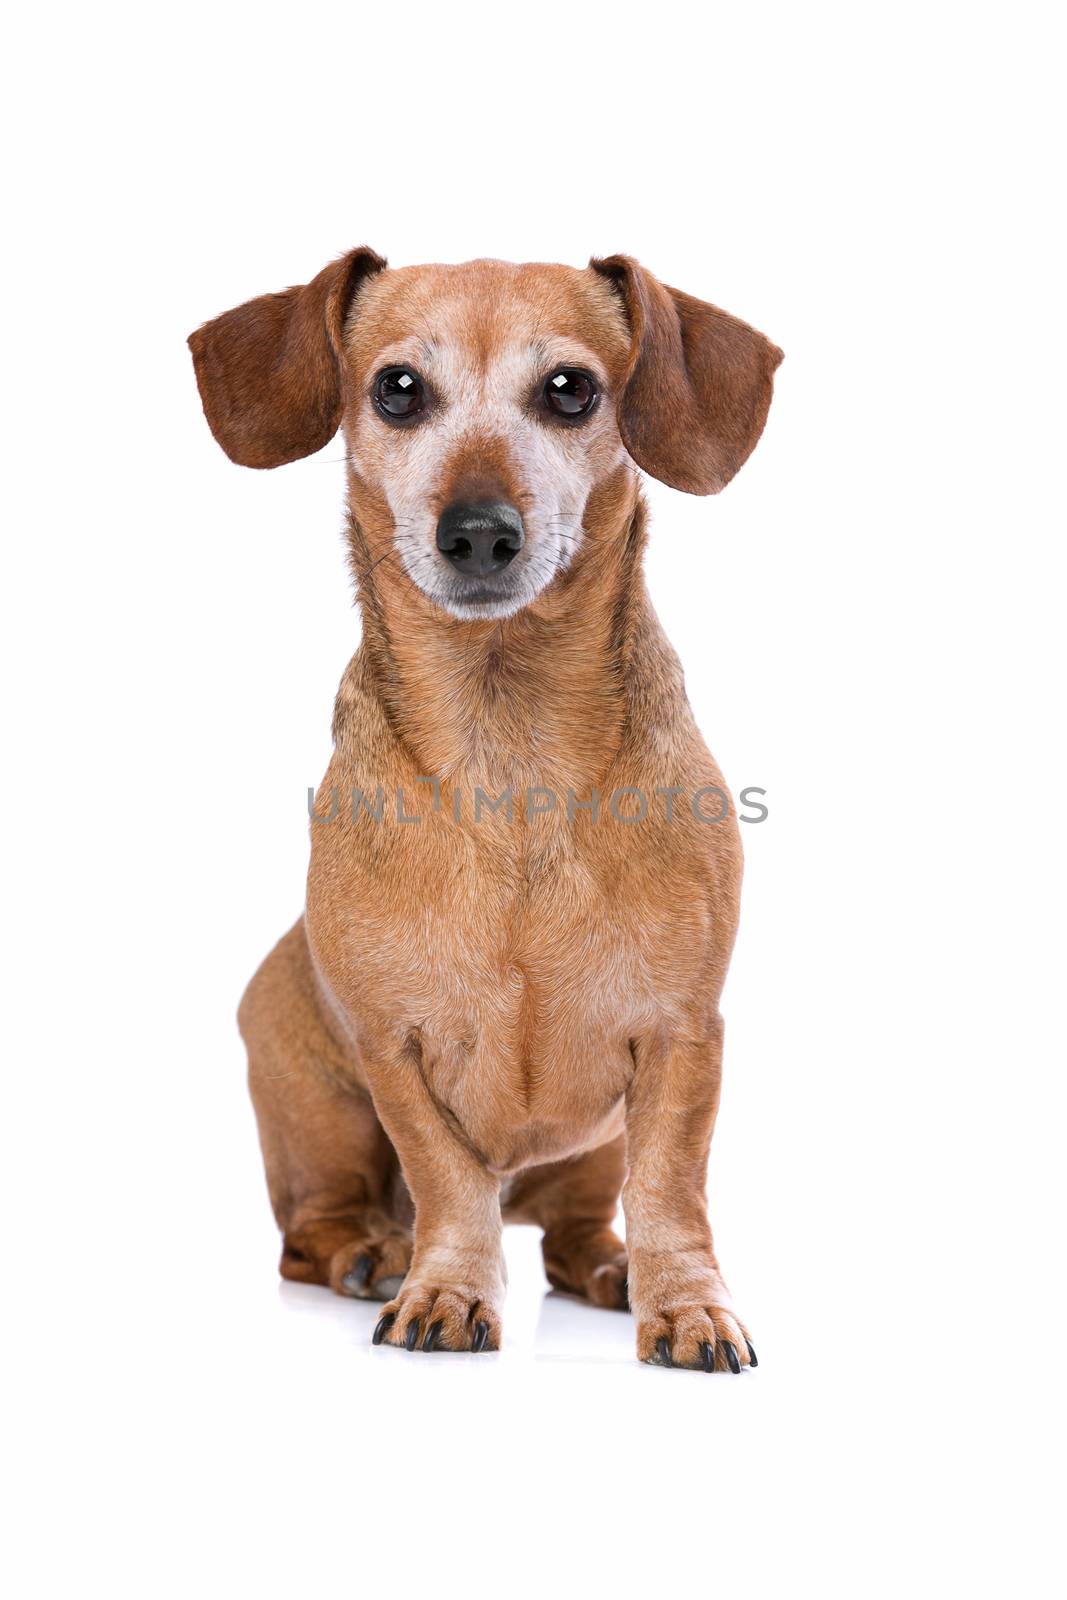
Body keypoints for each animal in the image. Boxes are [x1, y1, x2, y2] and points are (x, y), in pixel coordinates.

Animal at [187, 252, 780, 1376]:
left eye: (570, 389)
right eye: (396, 388)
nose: (477, 533)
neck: (508, 748)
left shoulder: (682, 1038)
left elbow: (671, 1188)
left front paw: (685, 1304)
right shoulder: (393, 1053)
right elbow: (446, 1183)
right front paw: (447, 1288)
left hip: (587, 1155)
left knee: (573, 1231)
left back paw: (611, 1269)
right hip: (324, 1121)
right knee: (312, 1233)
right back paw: (373, 1254)